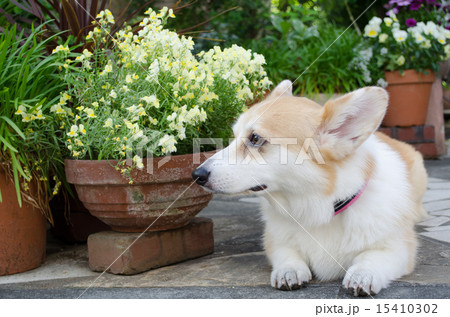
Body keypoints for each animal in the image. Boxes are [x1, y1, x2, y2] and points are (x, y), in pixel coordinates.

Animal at [192, 80, 428, 296]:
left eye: (255, 138)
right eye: (234, 137)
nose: (197, 175)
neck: (319, 208)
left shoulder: (398, 249)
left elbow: (372, 257)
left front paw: (363, 274)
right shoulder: (277, 242)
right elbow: (287, 254)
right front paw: (288, 271)